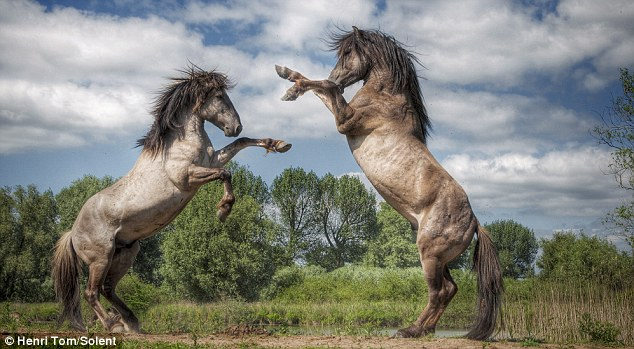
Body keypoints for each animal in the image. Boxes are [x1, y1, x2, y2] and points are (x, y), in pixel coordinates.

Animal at [53, 65, 290, 332]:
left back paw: (131, 322)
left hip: (124, 254)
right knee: (91, 292)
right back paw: (114, 325)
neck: (180, 142)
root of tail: (72, 233)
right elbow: (225, 173)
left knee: (107, 289)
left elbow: (242, 143)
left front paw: (278, 144)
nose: (235, 127)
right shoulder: (188, 177)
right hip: (100, 258)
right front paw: (223, 209)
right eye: (219, 96)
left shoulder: (212, 160)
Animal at [274, 27, 502, 340]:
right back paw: (425, 330)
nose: (339, 77)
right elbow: (321, 89)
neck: (385, 97)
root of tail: (475, 222)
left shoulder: (345, 120)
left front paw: (290, 85)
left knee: (438, 292)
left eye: (348, 53)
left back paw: (410, 330)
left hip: (429, 254)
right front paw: (288, 79)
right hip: (440, 259)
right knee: (449, 290)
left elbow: (325, 88)